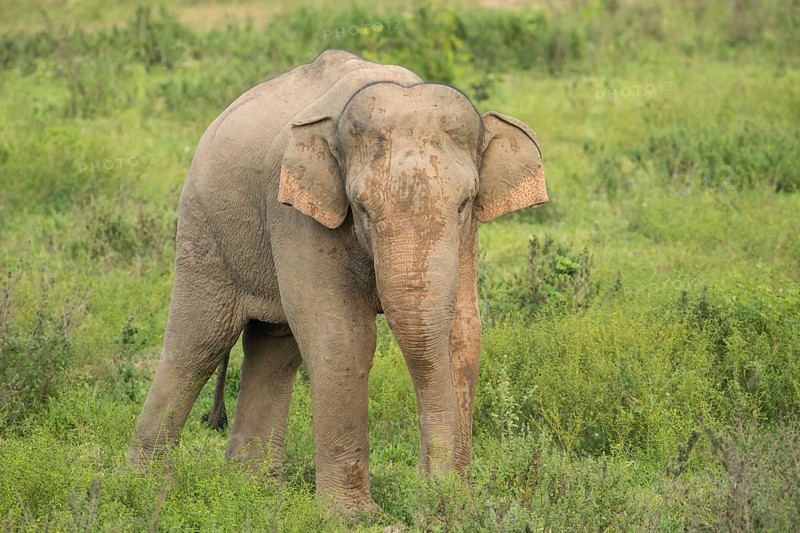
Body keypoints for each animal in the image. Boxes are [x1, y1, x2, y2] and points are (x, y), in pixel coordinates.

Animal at [128, 50, 548, 514]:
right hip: (204, 228)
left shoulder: (468, 236)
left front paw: (456, 503)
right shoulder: (296, 213)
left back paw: (255, 490)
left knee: (273, 349)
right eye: (361, 207)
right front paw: (357, 516)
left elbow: (464, 331)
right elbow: (342, 337)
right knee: (198, 345)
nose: (429, 495)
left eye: (464, 203)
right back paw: (146, 487)